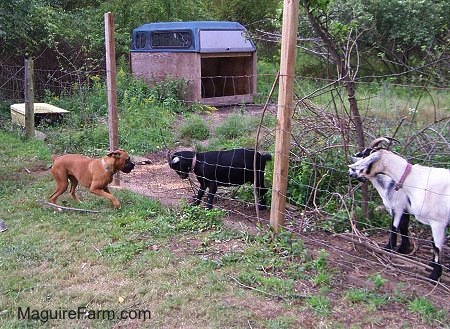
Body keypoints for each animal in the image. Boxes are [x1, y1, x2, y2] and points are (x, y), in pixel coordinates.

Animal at [350, 147, 450, 278]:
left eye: (366, 157)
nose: (351, 172)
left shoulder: (400, 207)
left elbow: (394, 226)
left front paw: (389, 248)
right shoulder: (405, 209)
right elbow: (404, 226)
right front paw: (404, 248)